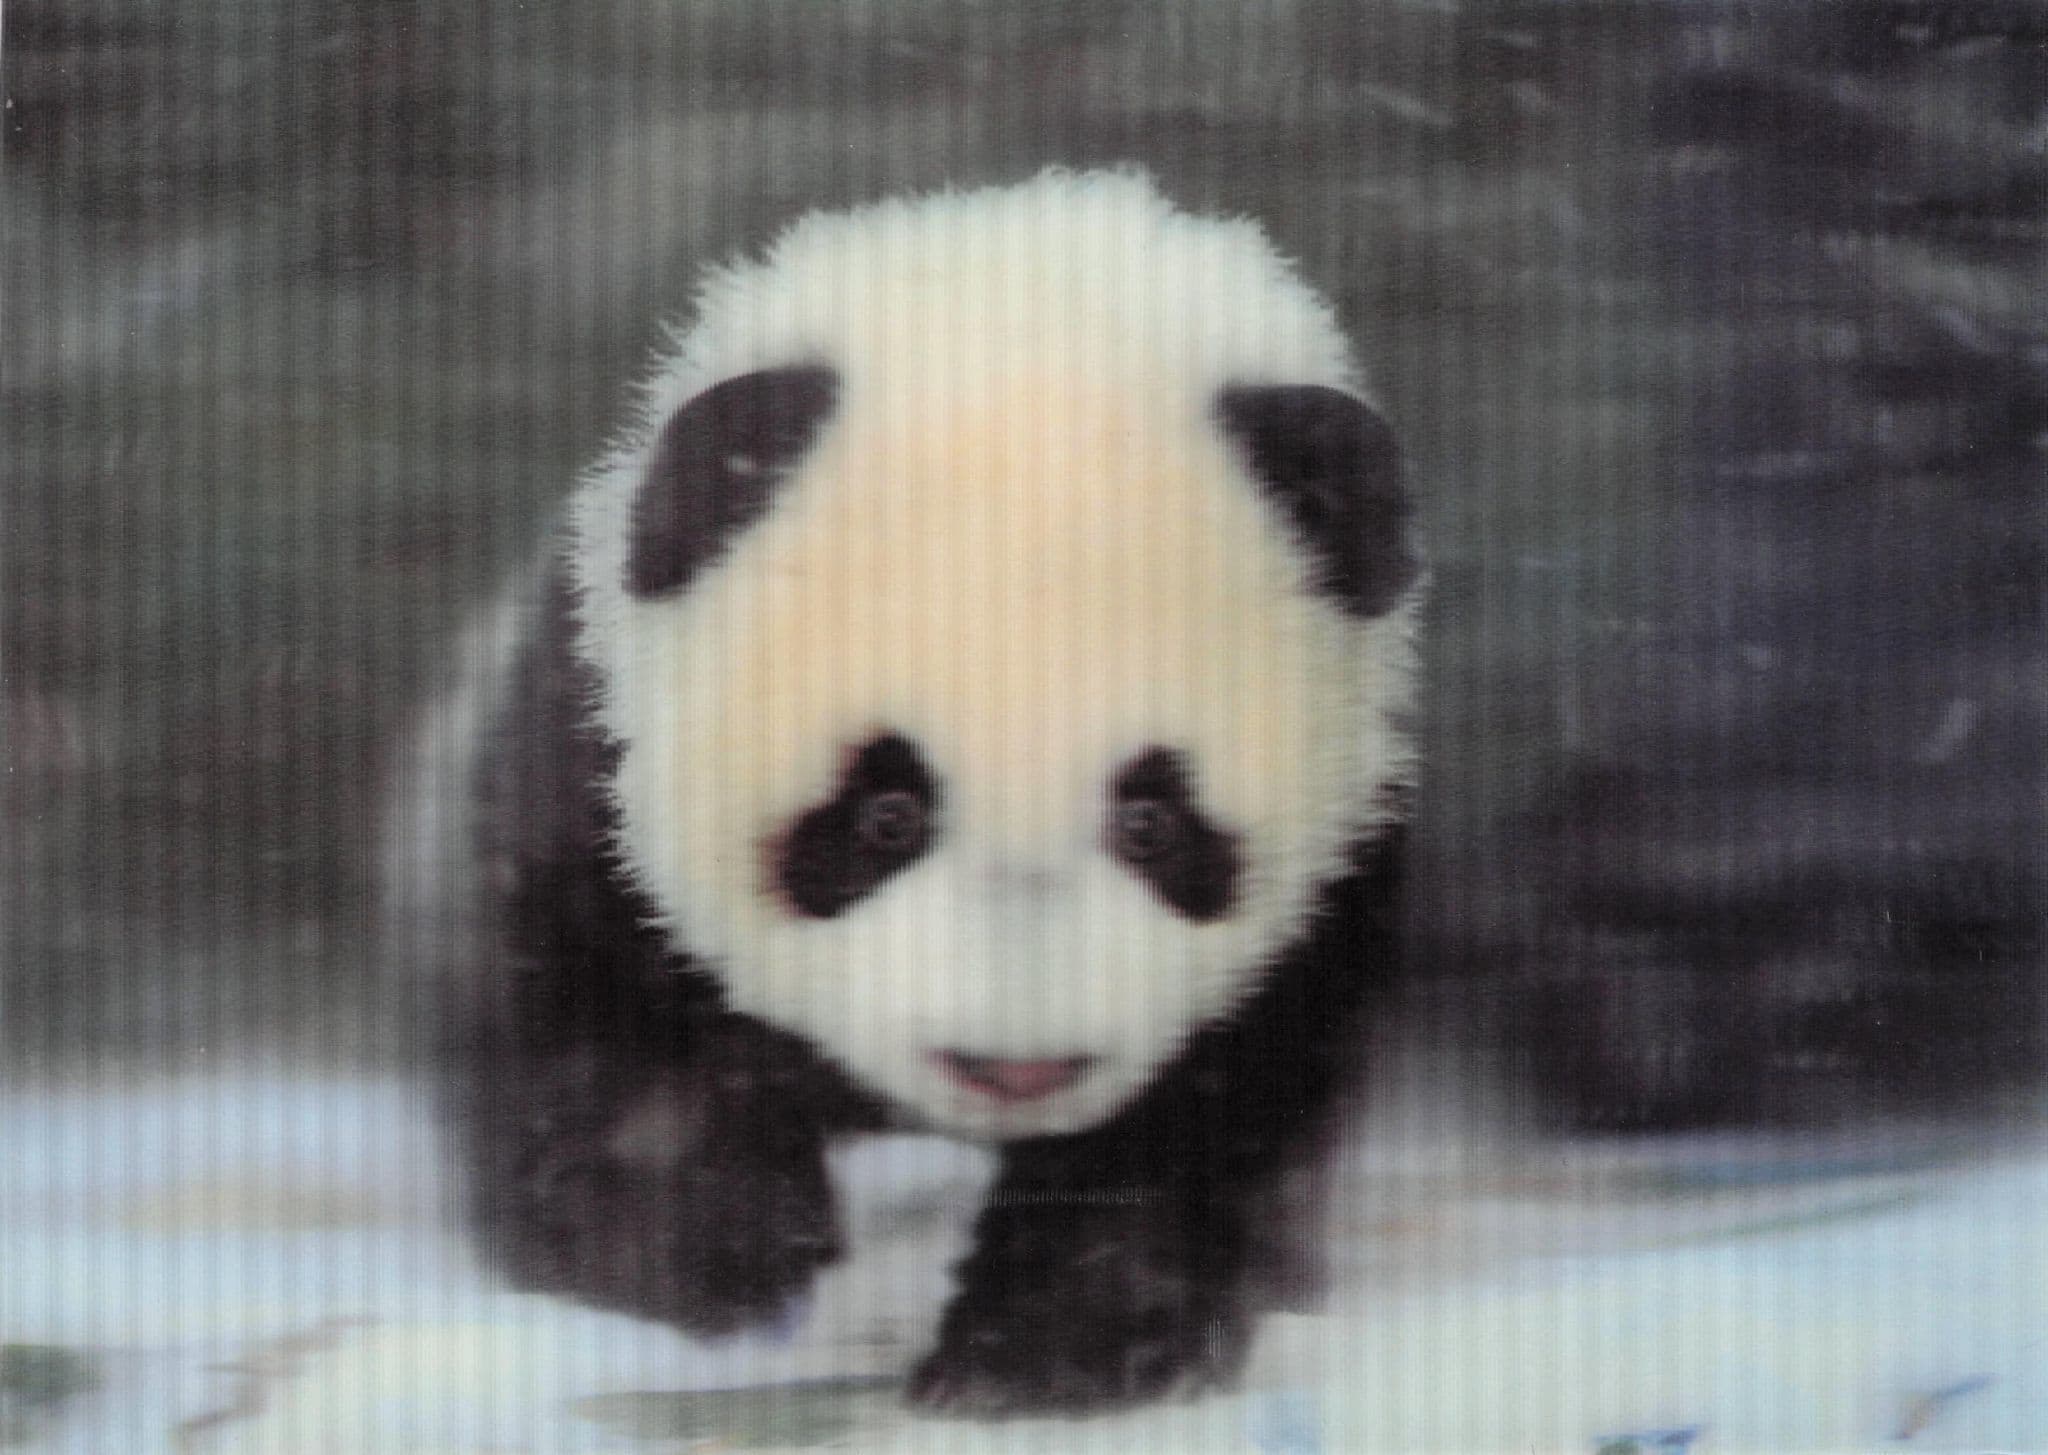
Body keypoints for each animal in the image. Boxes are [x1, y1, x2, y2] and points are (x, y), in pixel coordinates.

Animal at [430, 168, 1422, 1417]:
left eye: (1150, 821)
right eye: (883, 815)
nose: (1014, 1067)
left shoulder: (1344, 866)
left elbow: (1215, 1101)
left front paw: (1058, 1347)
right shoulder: (588, 758)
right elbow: (606, 1035)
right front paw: (727, 1253)